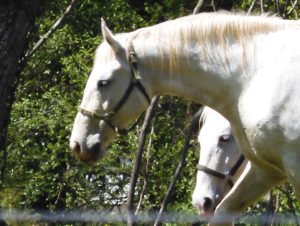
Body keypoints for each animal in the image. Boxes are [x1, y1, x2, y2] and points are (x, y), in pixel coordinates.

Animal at [69, 13, 300, 225]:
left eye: (103, 82)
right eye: (200, 141)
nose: (78, 144)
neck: (256, 76)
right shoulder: (265, 171)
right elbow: (223, 212)